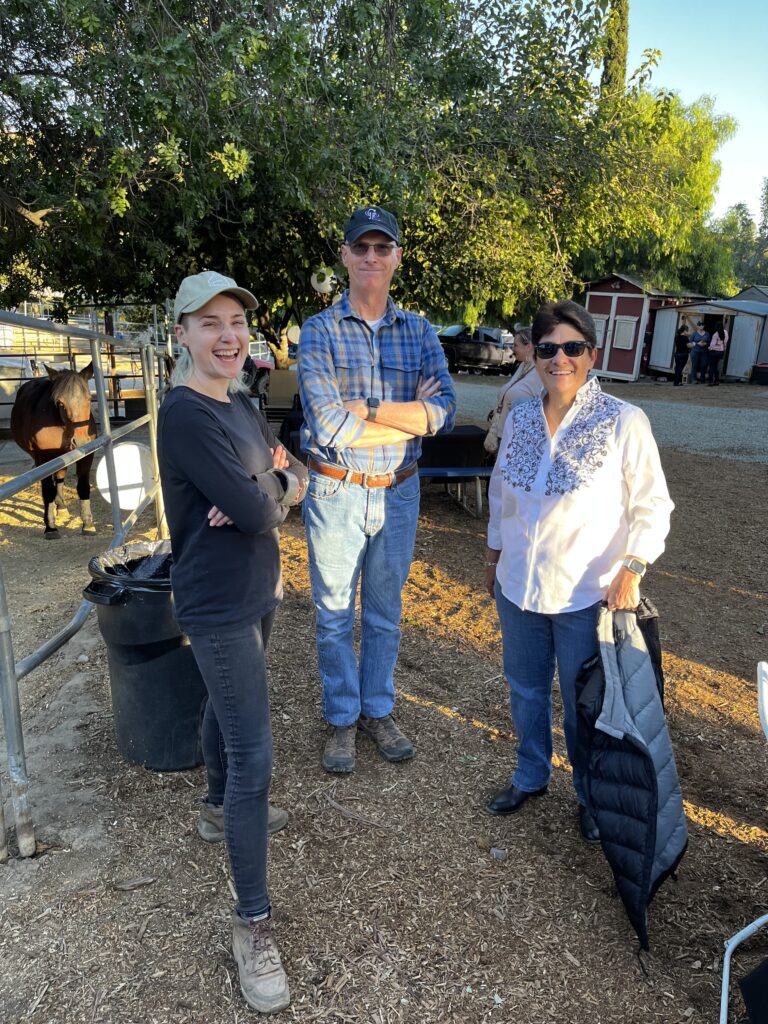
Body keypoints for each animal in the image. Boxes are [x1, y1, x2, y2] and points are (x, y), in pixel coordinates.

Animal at [10, 364, 98, 540]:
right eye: (61, 403)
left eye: (89, 399)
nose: (81, 442)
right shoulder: (44, 458)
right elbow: (48, 490)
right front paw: (50, 527)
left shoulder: (86, 456)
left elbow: (83, 487)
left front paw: (88, 524)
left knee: (59, 478)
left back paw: (62, 506)